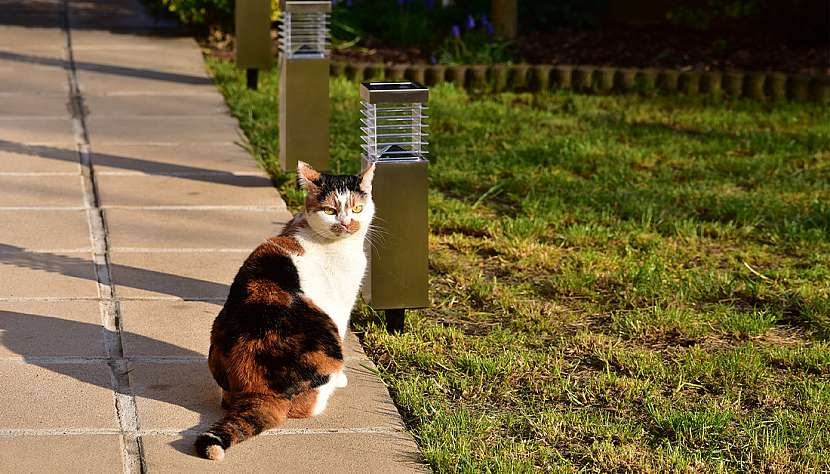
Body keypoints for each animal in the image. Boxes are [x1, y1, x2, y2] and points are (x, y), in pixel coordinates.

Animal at [195, 160, 376, 460]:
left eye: (358, 208)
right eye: (330, 210)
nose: (346, 222)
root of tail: (256, 390)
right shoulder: (342, 306)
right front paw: (341, 379)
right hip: (326, 338)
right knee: (308, 406)